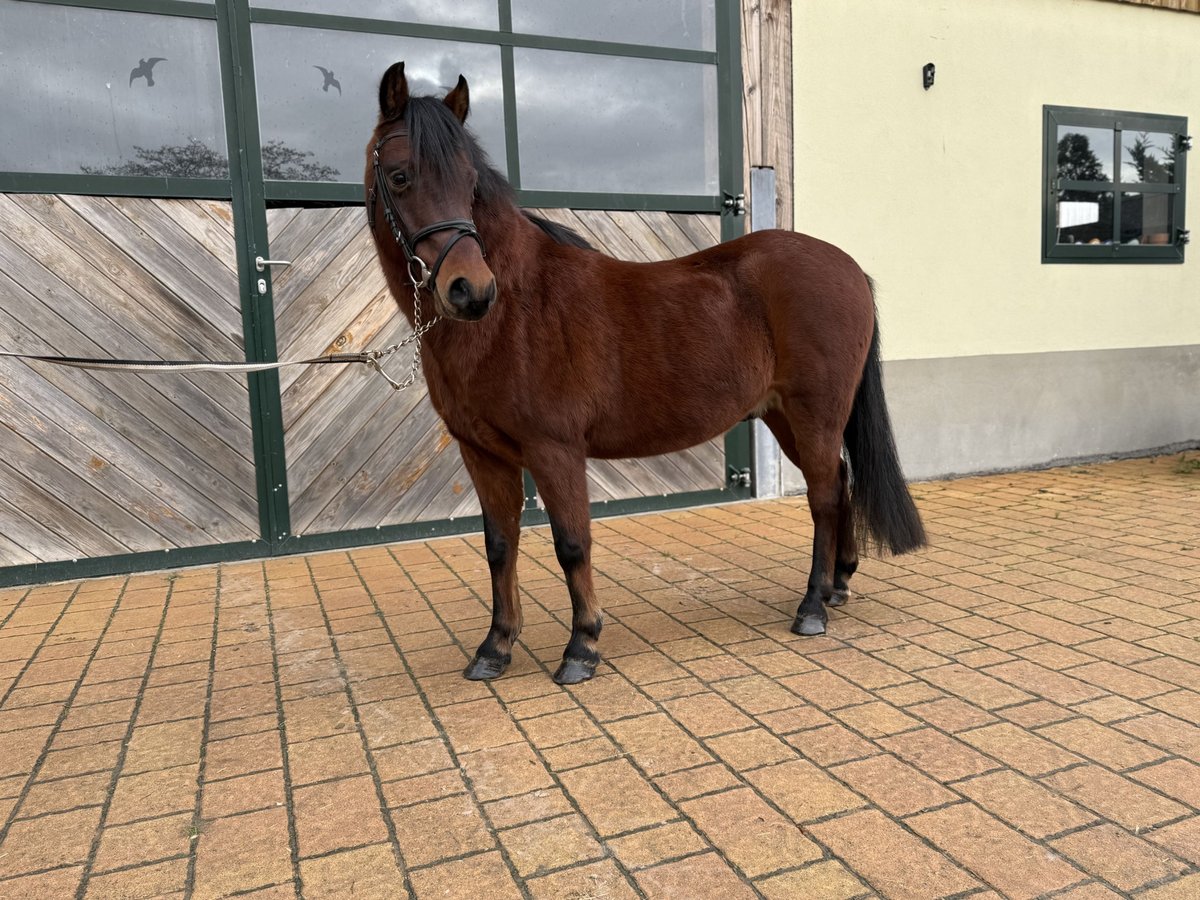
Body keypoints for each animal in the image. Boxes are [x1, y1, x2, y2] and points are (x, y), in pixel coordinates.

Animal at [364, 61, 926, 681]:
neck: (515, 309)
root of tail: (850, 268)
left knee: (825, 495)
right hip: (784, 418)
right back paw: (836, 586)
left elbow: (571, 544)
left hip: (815, 414)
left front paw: (581, 647)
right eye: (399, 177)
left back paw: (811, 609)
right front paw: (494, 648)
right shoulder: (482, 453)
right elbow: (499, 546)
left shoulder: (554, 449)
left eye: (469, 185)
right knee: (840, 482)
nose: (470, 291)